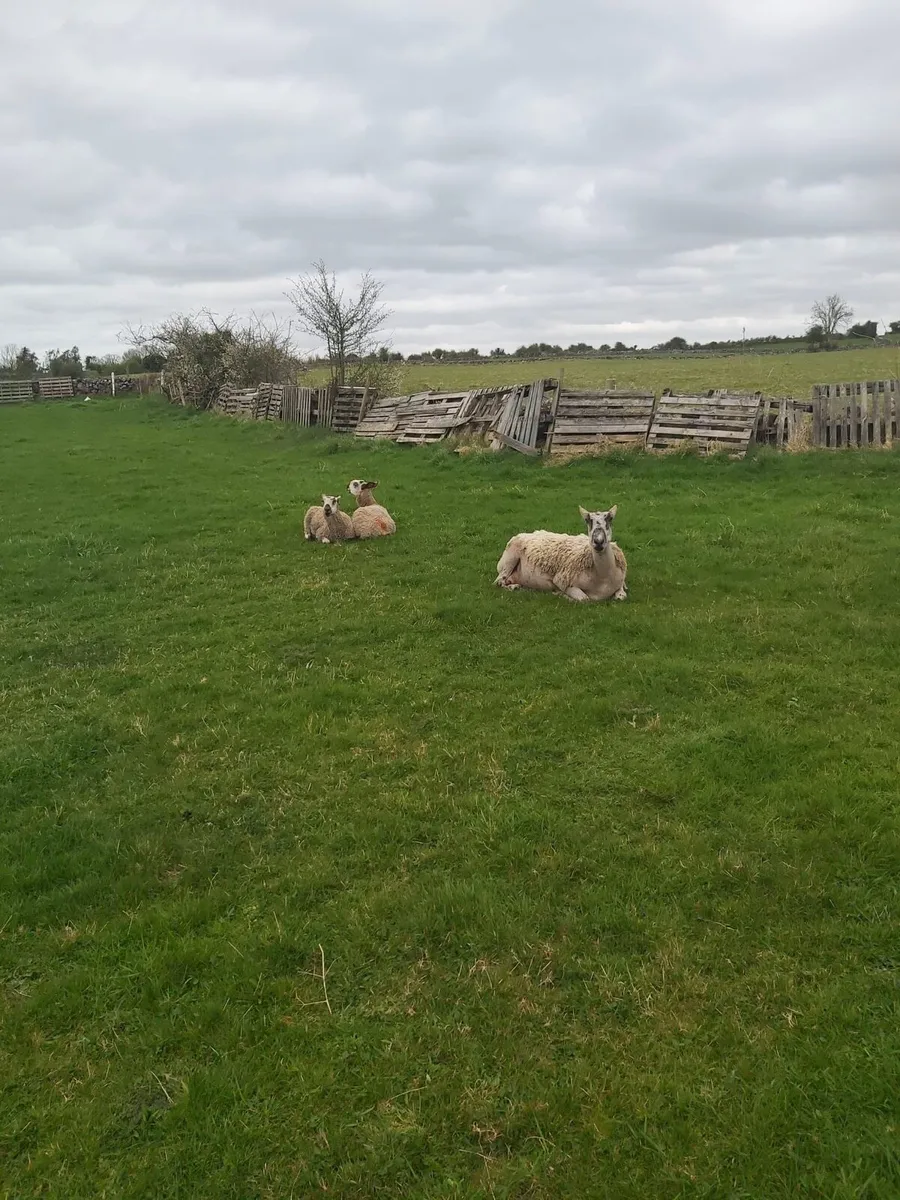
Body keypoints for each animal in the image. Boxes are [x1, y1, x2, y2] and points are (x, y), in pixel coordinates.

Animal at [494, 505, 627, 602]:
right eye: (587, 521)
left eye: (610, 519)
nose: (598, 542)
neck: (602, 578)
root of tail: (524, 533)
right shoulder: (562, 581)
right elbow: (584, 598)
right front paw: (560, 594)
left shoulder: (620, 583)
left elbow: (622, 596)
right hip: (509, 558)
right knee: (499, 581)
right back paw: (514, 587)